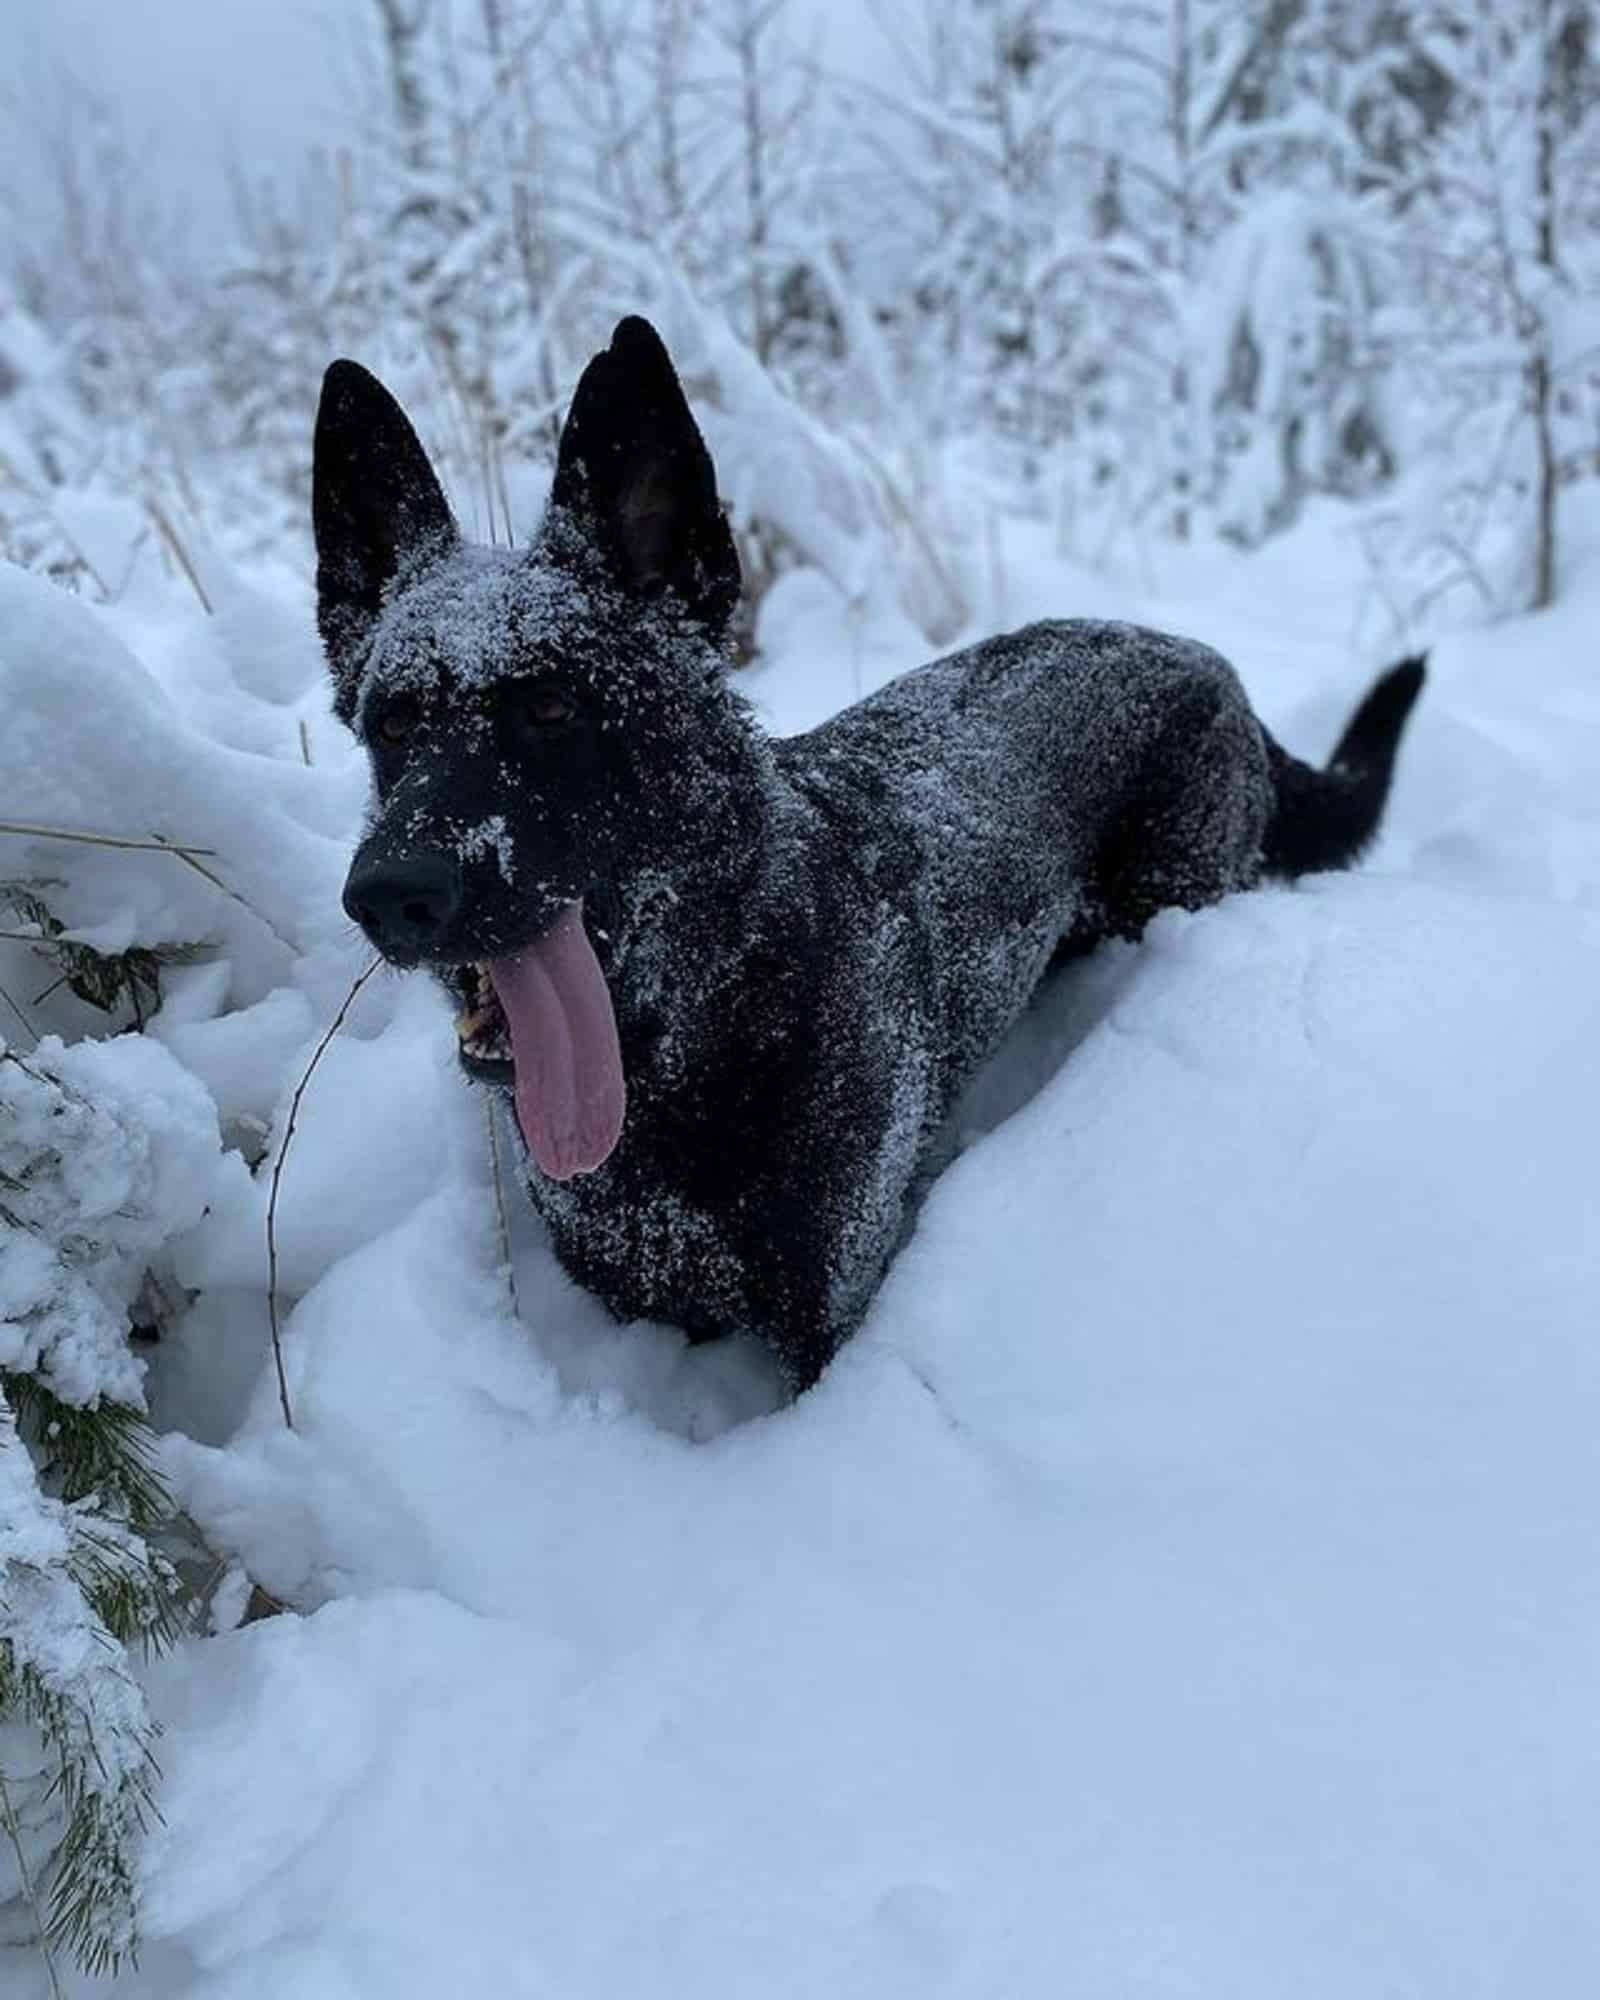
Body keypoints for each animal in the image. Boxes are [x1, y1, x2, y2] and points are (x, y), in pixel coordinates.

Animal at [312, 316, 1424, 1392]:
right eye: (392, 724)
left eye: (551, 707)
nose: (388, 894)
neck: (706, 1026)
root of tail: (1202, 657)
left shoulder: (829, 1307)